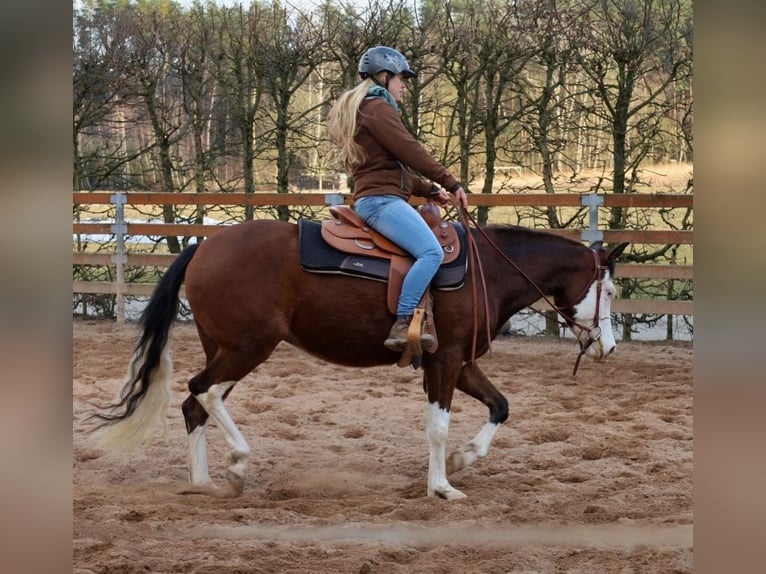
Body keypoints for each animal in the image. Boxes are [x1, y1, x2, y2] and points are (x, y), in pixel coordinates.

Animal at [91, 214, 632, 502]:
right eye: (607, 289)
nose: (609, 348)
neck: (489, 271)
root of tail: (205, 246)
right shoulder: (444, 362)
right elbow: (438, 427)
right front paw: (442, 487)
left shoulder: (459, 362)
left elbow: (500, 406)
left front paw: (463, 460)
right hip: (249, 347)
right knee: (202, 392)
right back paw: (239, 462)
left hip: (226, 347)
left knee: (197, 404)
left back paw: (205, 482)